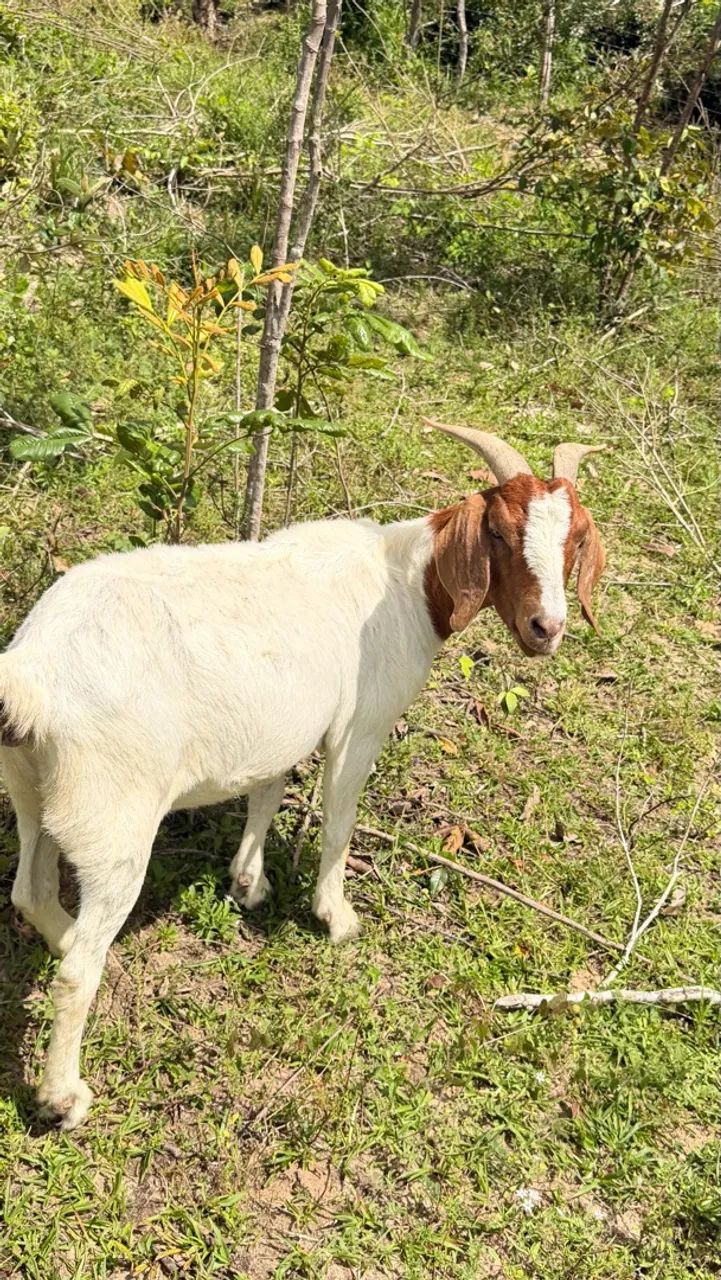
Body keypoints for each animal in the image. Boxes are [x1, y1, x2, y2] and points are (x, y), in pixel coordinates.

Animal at [0, 426, 605, 1128]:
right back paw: (64, 1096)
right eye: (502, 533)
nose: (547, 628)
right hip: (115, 821)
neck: (407, 582)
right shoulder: (359, 725)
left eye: (575, 539)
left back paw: (73, 945)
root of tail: (36, 674)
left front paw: (248, 883)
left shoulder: (286, 724)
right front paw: (336, 917)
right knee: (77, 966)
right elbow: (339, 819)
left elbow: (268, 789)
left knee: (32, 891)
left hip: (35, 789)